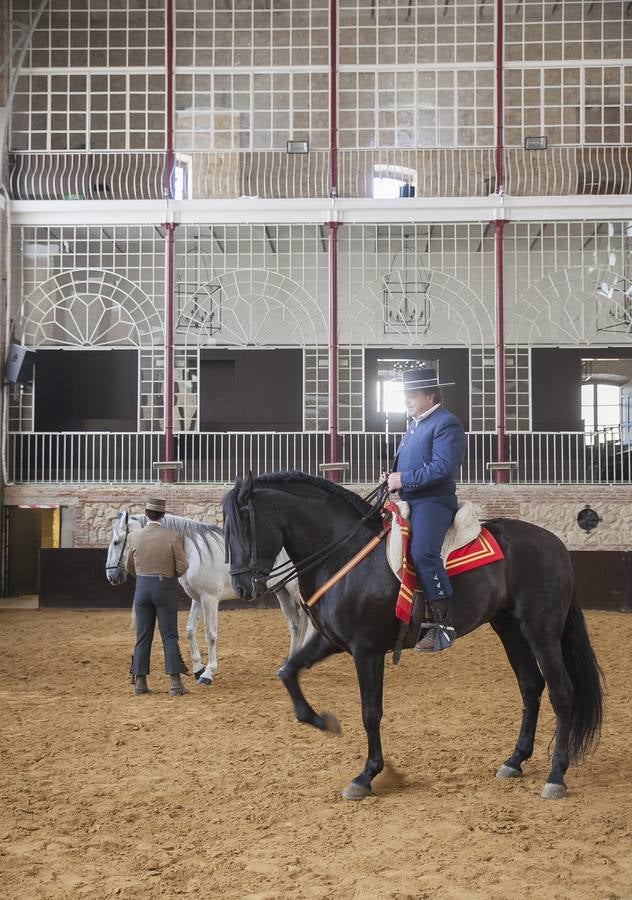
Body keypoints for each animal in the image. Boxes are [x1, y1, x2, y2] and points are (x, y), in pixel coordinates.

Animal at [106, 512, 314, 684]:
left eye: (116, 542)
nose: (111, 576)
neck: (193, 552)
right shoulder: (197, 599)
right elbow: (190, 630)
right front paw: (198, 668)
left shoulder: (209, 599)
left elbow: (210, 634)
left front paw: (208, 673)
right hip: (282, 591)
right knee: (295, 625)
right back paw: (288, 664)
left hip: (294, 589)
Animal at [223, 472, 604, 800]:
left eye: (243, 526)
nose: (242, 588)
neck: (343, 553)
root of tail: (555, 544)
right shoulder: (331, 640)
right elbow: (287, 672)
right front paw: (324, 722)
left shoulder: (366, 650)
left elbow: (370, 712)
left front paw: (367, 775)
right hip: (509, 628)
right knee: (530, 686)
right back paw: (515, 760)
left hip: (540, 629)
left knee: (561, 691)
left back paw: (556, 775)